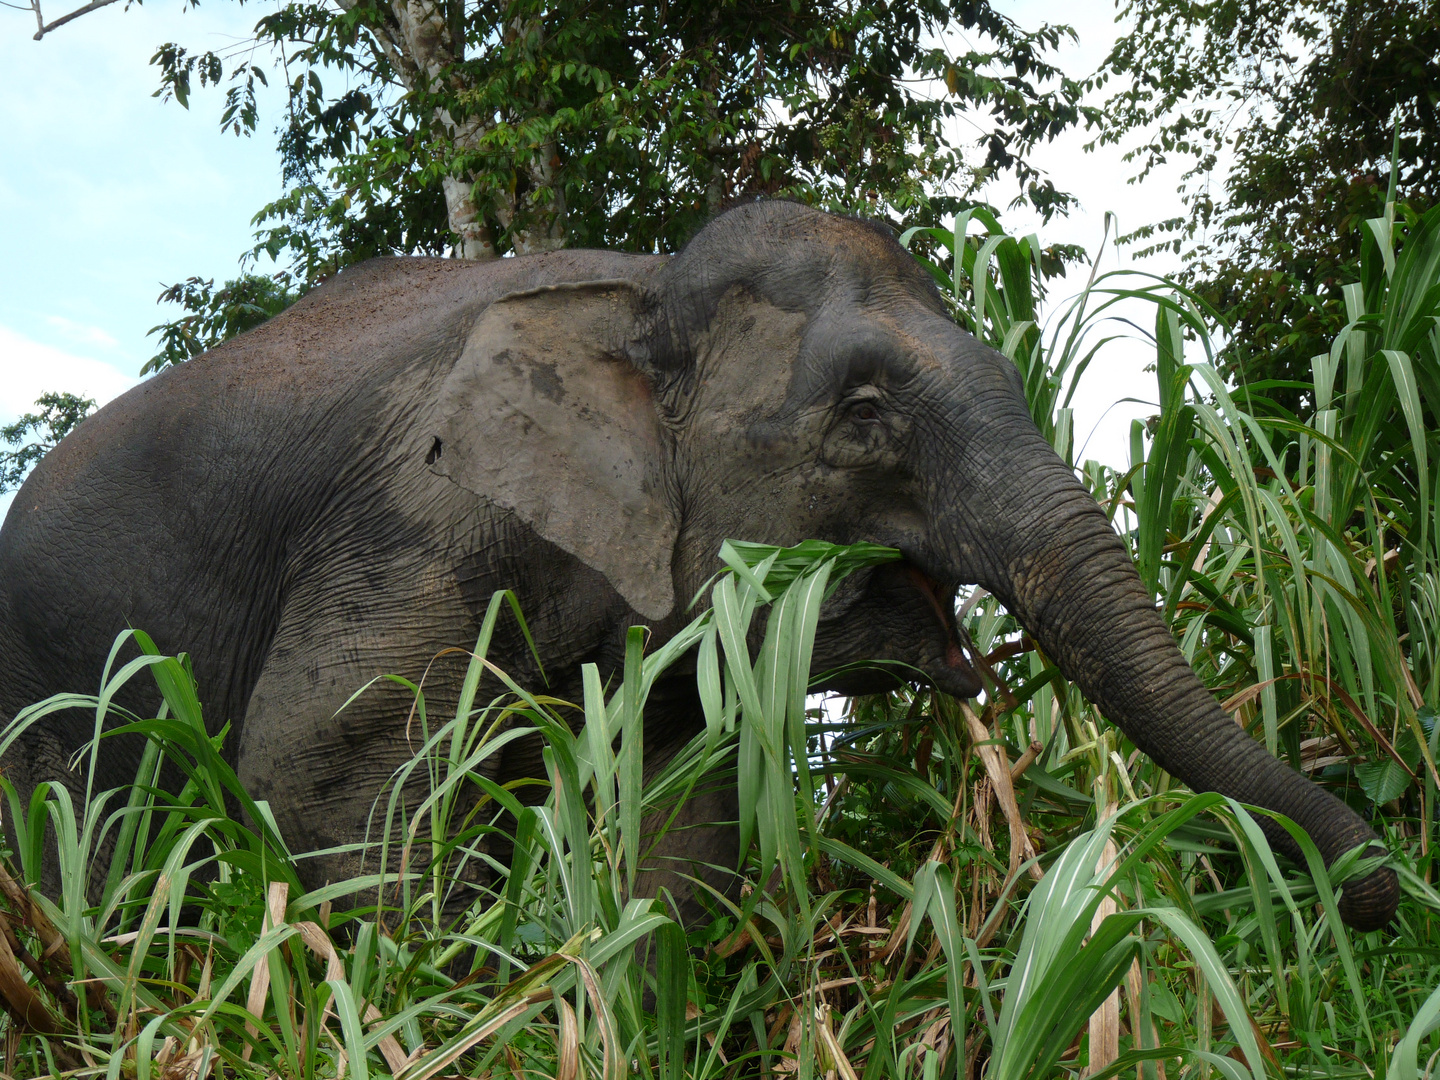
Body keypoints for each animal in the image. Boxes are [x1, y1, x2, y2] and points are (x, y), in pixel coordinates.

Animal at [0, 201, 1393, 933]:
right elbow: (326, 772)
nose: (1383, 894)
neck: (640, 287)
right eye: (867, 415)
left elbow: (676, 813)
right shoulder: (413, 516)